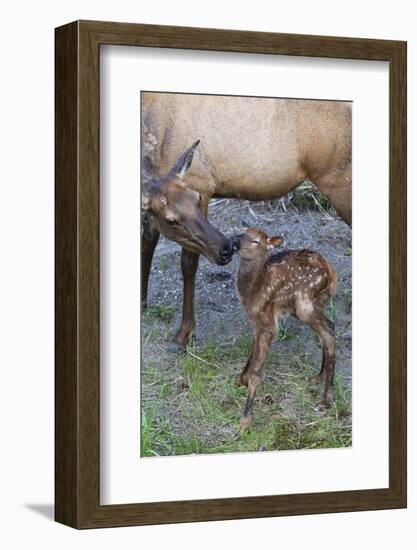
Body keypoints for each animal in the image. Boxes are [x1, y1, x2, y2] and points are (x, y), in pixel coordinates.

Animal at [141, 92, 350, 348]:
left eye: (196, 197)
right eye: (170, 220)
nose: (227, 248)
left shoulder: (202, 183)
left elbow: (188, 264)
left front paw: (185, 333)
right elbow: (147, 241)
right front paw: (142, 303)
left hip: (339, 181)